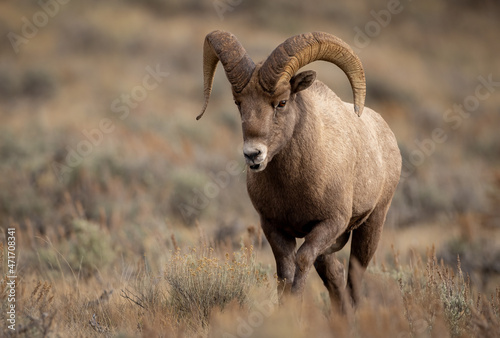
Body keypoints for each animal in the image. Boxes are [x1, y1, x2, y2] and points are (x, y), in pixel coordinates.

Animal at [196, 30, 402, 310]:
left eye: (281, 102)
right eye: (238, 102)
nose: (253, 154)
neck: (293, 187)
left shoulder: (329, 224)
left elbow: (302, 260)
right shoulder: (274, 228)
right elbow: (285, 270)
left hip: (372, 225)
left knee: (354, 278)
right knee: (333, 272)